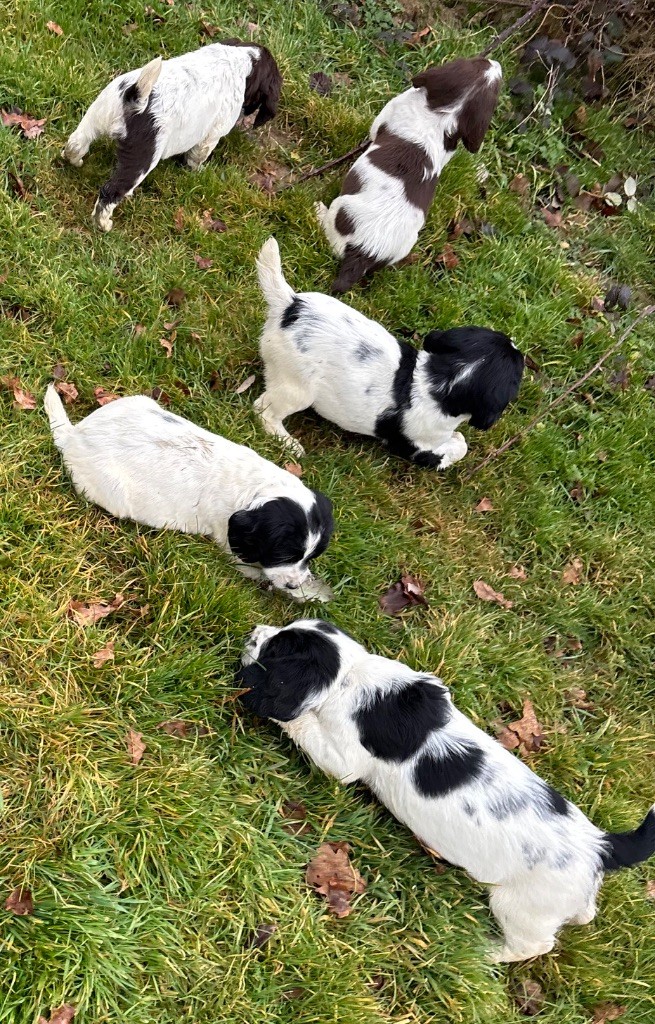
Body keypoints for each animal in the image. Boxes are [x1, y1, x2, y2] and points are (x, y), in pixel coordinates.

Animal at [44, 387, 331, 602]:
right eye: (283, 556)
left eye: (310, 557)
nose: (293, 585)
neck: (259, 488)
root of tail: (73, 435)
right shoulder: (232, 546)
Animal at [239, 618, 655, 962]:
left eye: (275, 649)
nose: (253, 630)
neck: (351, 673)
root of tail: (602, 847)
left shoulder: (343, 757)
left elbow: (305, 725)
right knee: (583, 912)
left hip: (520, 906)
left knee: (534, 945)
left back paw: (486, 953)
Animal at [253, 237, 524, 466]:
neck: (443, 378)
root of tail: (290, 305)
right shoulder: (415, 448)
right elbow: (456, 448)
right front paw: (457, 440)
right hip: (297, 388)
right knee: (263, 410)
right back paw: (288, 442)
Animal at [317, 57, 501, 292]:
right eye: (478, 61)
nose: (496, 63)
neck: (445, 115)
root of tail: (365, 252)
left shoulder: (386, 114)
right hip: (406, 244)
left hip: (342, 208)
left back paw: (318, 211)